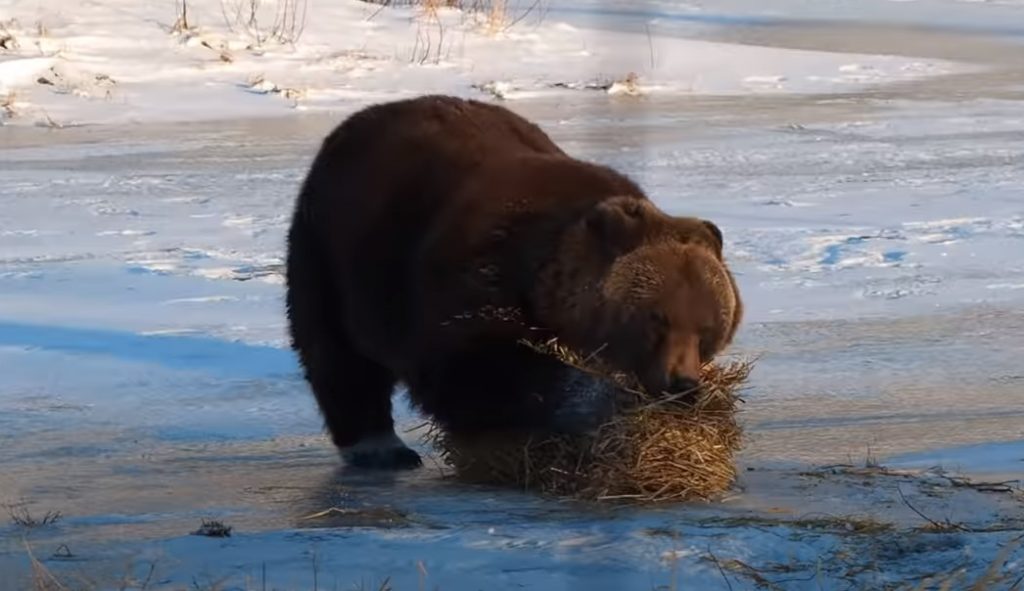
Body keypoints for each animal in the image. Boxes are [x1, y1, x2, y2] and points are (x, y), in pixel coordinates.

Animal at [284, 94, 741, 467]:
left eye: (708, 330)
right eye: (655, 320)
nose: (682, 384)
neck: (542, 285)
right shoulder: (472, 283)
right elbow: (477, 372)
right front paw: (584, 398)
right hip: (335, 249)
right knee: (336, 351)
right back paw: (378, 446)